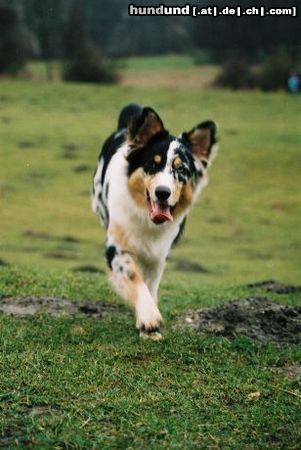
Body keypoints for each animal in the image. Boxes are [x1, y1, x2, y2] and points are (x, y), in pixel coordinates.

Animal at [90, 103, 217, 340]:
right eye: (152, 164)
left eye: (181, 169)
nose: (162, 192)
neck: (147, 220)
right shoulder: (116, 246)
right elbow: (132, 275)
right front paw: (149, 318)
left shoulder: (158, 255)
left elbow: (150, 286)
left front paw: (149, 329)